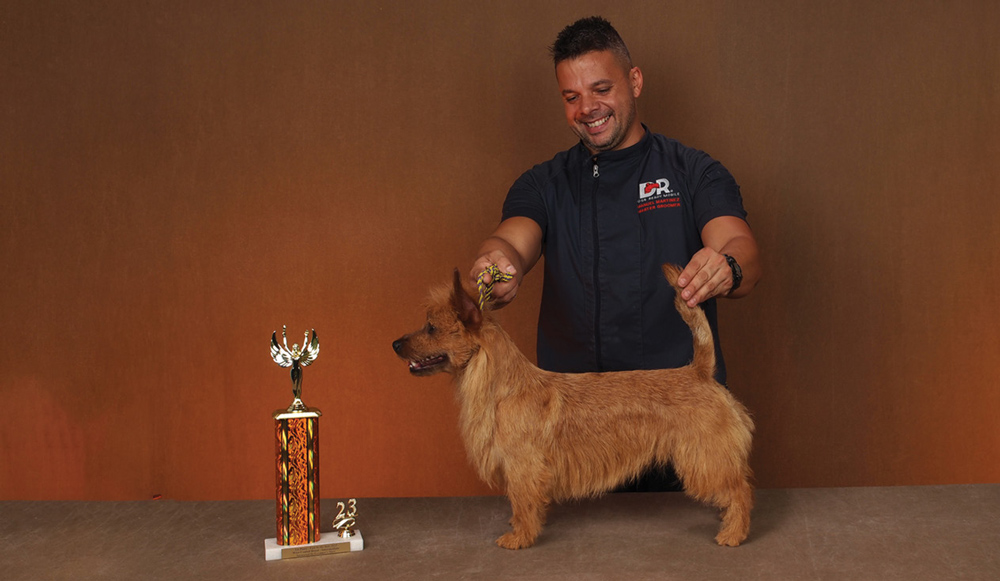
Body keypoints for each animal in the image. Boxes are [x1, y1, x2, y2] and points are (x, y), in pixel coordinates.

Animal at [394, 266, 752, 548]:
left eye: (431, 327)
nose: (395, 343)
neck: (503, 387)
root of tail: (699, 370)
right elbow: (520, 502)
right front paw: (517, 527)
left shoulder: (523, 465)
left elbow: (522, 501)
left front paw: (519, 537)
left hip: (705, 456)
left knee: (740, 489)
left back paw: (734, 533)